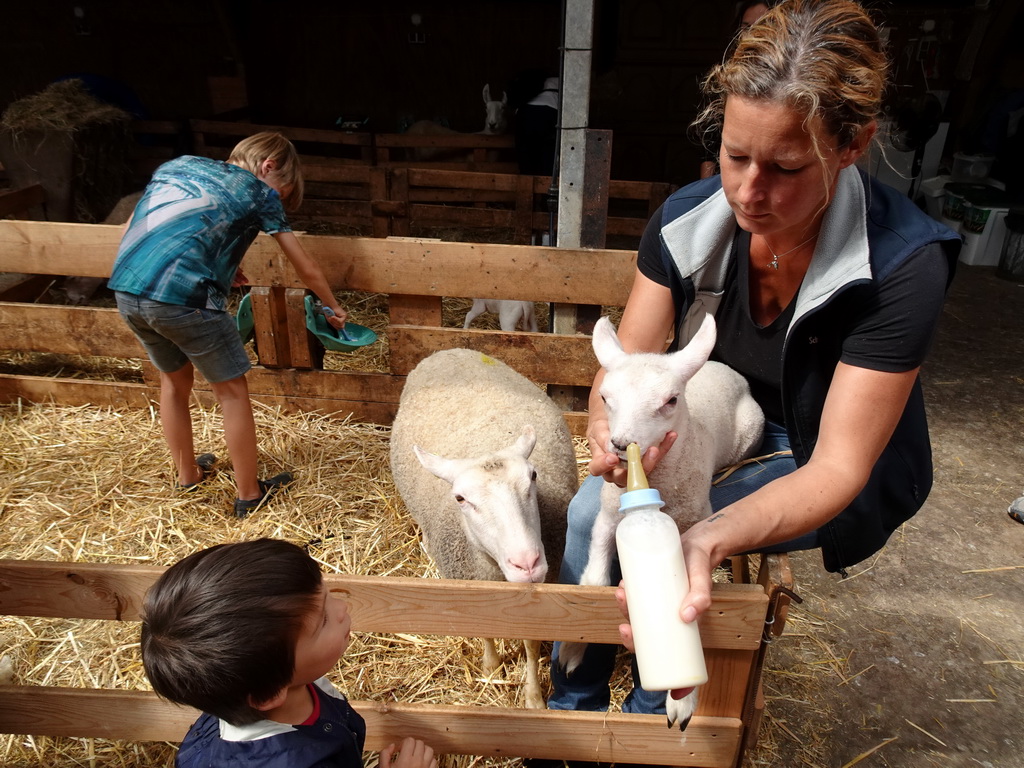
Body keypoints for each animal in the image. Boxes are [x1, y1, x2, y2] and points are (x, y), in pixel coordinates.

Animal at [389, 348, 581, 708]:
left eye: (534, 477)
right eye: (460, 498)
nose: (528, 564)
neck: (495, 575)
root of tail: (449, 350)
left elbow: (531, 645)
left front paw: (533, 698)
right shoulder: (468, 584)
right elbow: (485, 631)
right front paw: (491, 666)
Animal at [557, 313, 765, 733]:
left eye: (670, 401)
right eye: (604, 398)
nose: (621, 444)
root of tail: (723, 367)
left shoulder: (693, 524)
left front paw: (682, 701)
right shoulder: (607, 518)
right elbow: (594, 582)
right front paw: (573, 649)